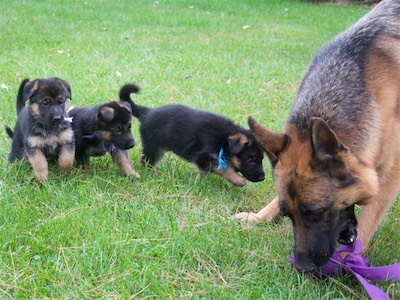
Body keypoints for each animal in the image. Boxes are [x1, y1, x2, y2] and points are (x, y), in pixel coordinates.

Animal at [120, 82, 268, 185]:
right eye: (251, 159)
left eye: (261, 159)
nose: (262, 177)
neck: (224, 138)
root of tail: (147, 112)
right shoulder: (202, 156)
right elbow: (222, 168)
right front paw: (237, 180)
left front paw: (201, 182)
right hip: (154, 147)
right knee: (146, 161)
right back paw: (153, 173)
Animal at [234, 0, 400, 272]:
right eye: (288, 214)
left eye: (318, 213)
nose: (301, 267)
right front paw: (260, 217)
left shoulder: (389, 173)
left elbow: (370, 215)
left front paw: (349, 260)